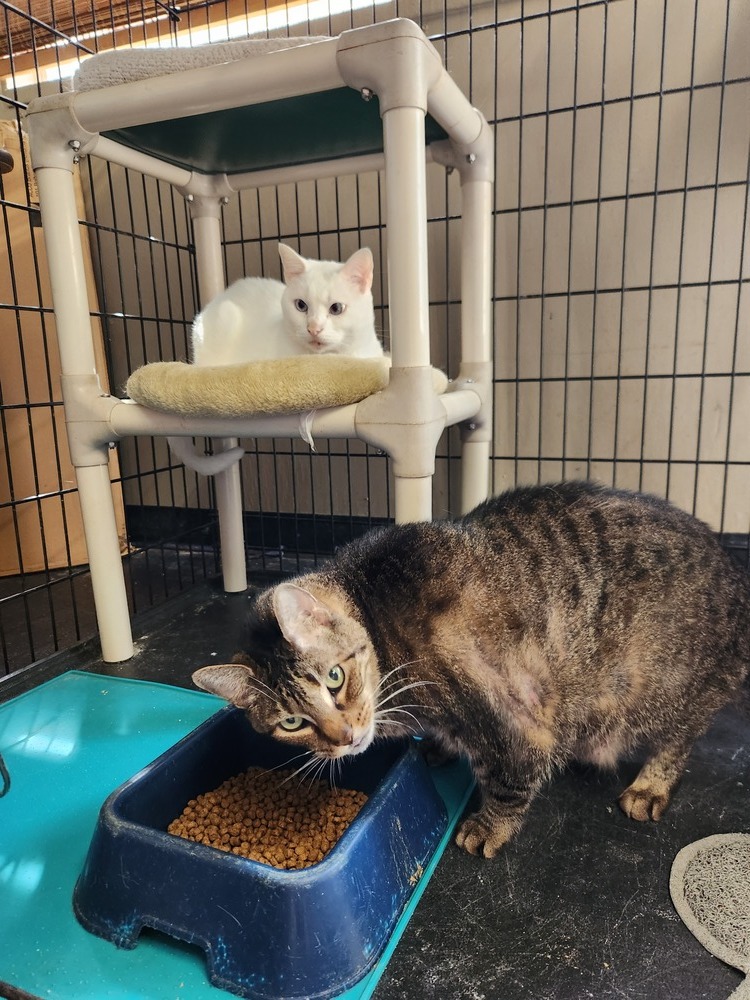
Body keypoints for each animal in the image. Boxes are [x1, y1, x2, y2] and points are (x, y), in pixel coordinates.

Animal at [195, 480, 750, 856]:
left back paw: (650, 785)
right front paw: (439, 748)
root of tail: (735, 577)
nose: (344, 738)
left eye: (335, 678)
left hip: (663, 690)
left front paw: (490, 827)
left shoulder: (515, 721)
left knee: (677, 738)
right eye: (292, 723)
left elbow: (507, 780)